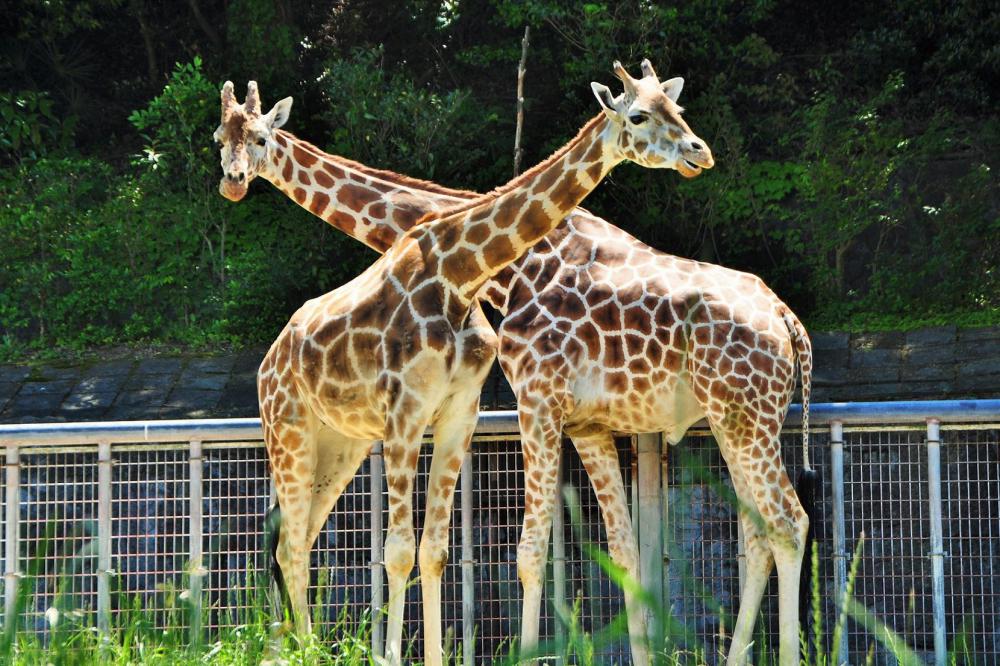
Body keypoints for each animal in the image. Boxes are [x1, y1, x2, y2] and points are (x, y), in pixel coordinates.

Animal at [219, 62, 720, 664]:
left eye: (677, 111)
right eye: (219, 139)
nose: (699, 151)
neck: (463, 272)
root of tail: (269, 361)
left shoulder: (468, 409)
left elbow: (434, 550)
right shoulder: (409, 412)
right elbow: (402, 550)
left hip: (333, 444)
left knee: (295, 541)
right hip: (295, 432)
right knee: (290, 544)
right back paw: (301, 649)